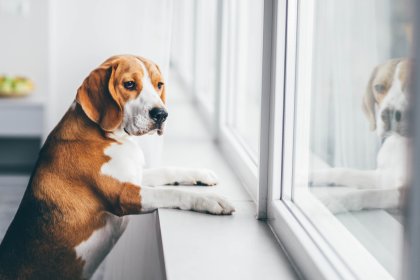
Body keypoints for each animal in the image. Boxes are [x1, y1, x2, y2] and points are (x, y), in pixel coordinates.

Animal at [0, 54, 236, 280]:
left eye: (159, 84)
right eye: (129, 84)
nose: (161, 114)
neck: (109, 136)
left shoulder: (135, 176)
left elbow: (166, 171)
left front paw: (201, 173)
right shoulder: (123, 194)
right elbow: (170, 193)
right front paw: (211, 200)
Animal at [310, 58, 412, 213]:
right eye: (379, 87)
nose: (388, 114)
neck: (400, 143)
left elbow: (370, 194)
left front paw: (337, 199)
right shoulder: (381, 177)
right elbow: (344, 172)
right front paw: (309, 174)